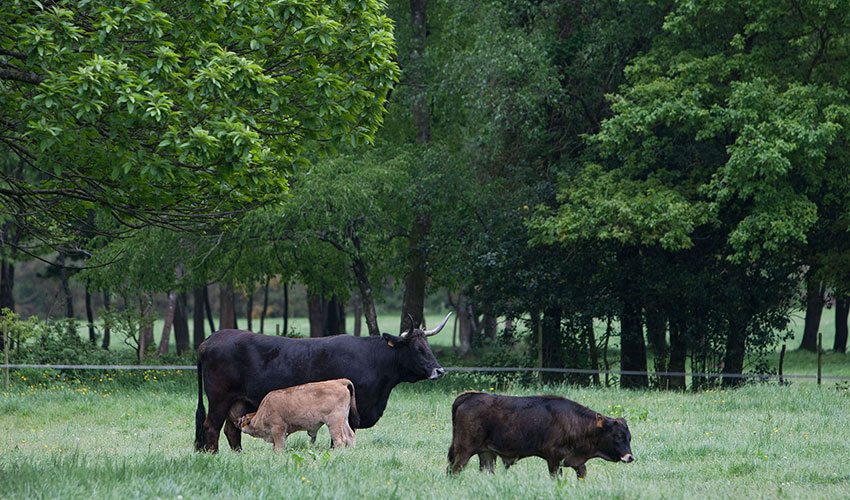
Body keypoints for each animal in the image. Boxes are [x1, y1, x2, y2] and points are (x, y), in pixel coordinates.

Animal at [193, 314, 450, 452]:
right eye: (417, 348)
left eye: (427, 346)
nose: (439, 370)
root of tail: (212, 338)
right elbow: (341, 435)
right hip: (219, 399)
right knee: (211, 427)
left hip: (237, 402)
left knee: (231, 429)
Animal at [448, 392, 632, 478]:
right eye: (617, 436)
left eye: (629, 437)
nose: (630, 457)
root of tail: (471, 396)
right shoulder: (553, 459)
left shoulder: (576, 462)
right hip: (463, 451)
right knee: (453, 470)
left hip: (487, 454)